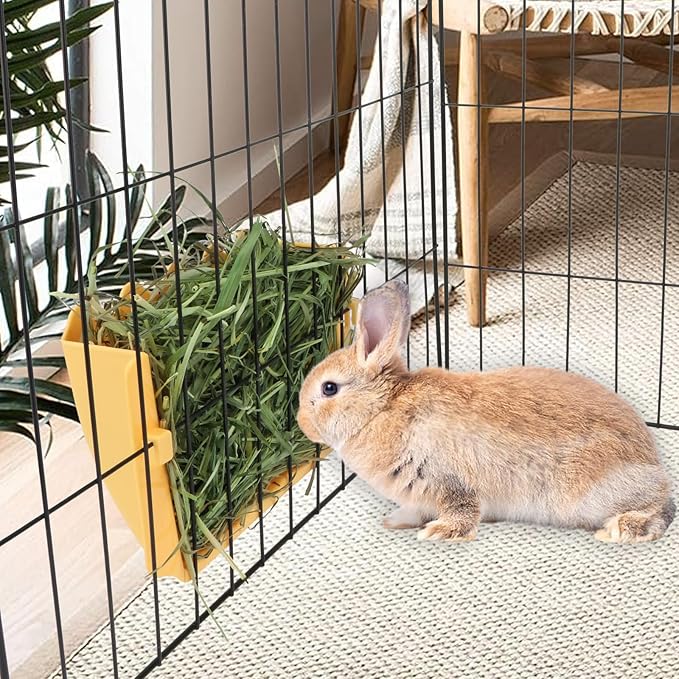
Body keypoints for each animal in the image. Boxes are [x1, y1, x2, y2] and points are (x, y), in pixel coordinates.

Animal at [297, 280, 675, 544]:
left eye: (329, 389)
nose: (302, 424)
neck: (381, 409)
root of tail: (653, 462)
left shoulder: (446, 479)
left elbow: (462, 510)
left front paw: (438, 533)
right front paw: (394, 522)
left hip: (596, 491)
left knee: (662, 509)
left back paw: (619, 530)